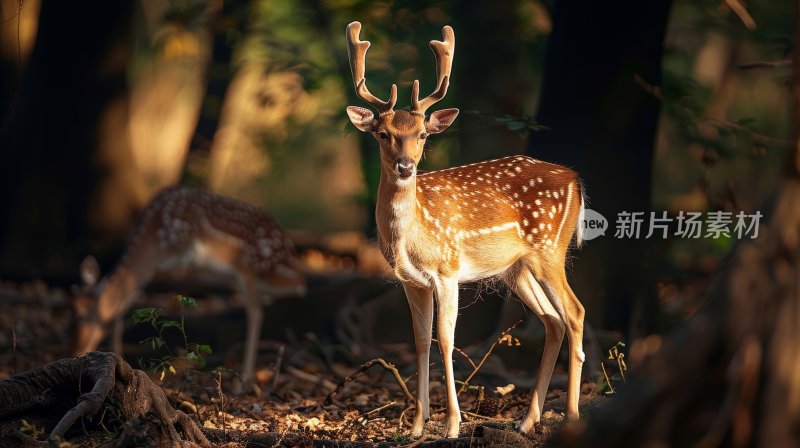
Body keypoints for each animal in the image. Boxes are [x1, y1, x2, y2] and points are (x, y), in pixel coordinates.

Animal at [72, 187, 306, 394]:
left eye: (85, 316)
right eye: (72, 313)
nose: (77, 352)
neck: (154, 240)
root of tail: (290, 256)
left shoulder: (179, 263)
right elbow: (125, 303)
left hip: (248, 267)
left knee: (255, 310)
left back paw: (244, 384)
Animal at [344, 21, 588, 438]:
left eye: (423, 134)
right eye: (382, 133)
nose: (406, 166)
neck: (410, 237)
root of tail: (575, 180)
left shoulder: (447, 269)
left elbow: (446, 340)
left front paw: (452, 424)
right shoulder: (411, 281)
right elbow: (420, 342)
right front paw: (417, 425)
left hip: (549, 249)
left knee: (575, 313)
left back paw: (570, 416)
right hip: (516, 268)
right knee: (553, 322)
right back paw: (526, 421)